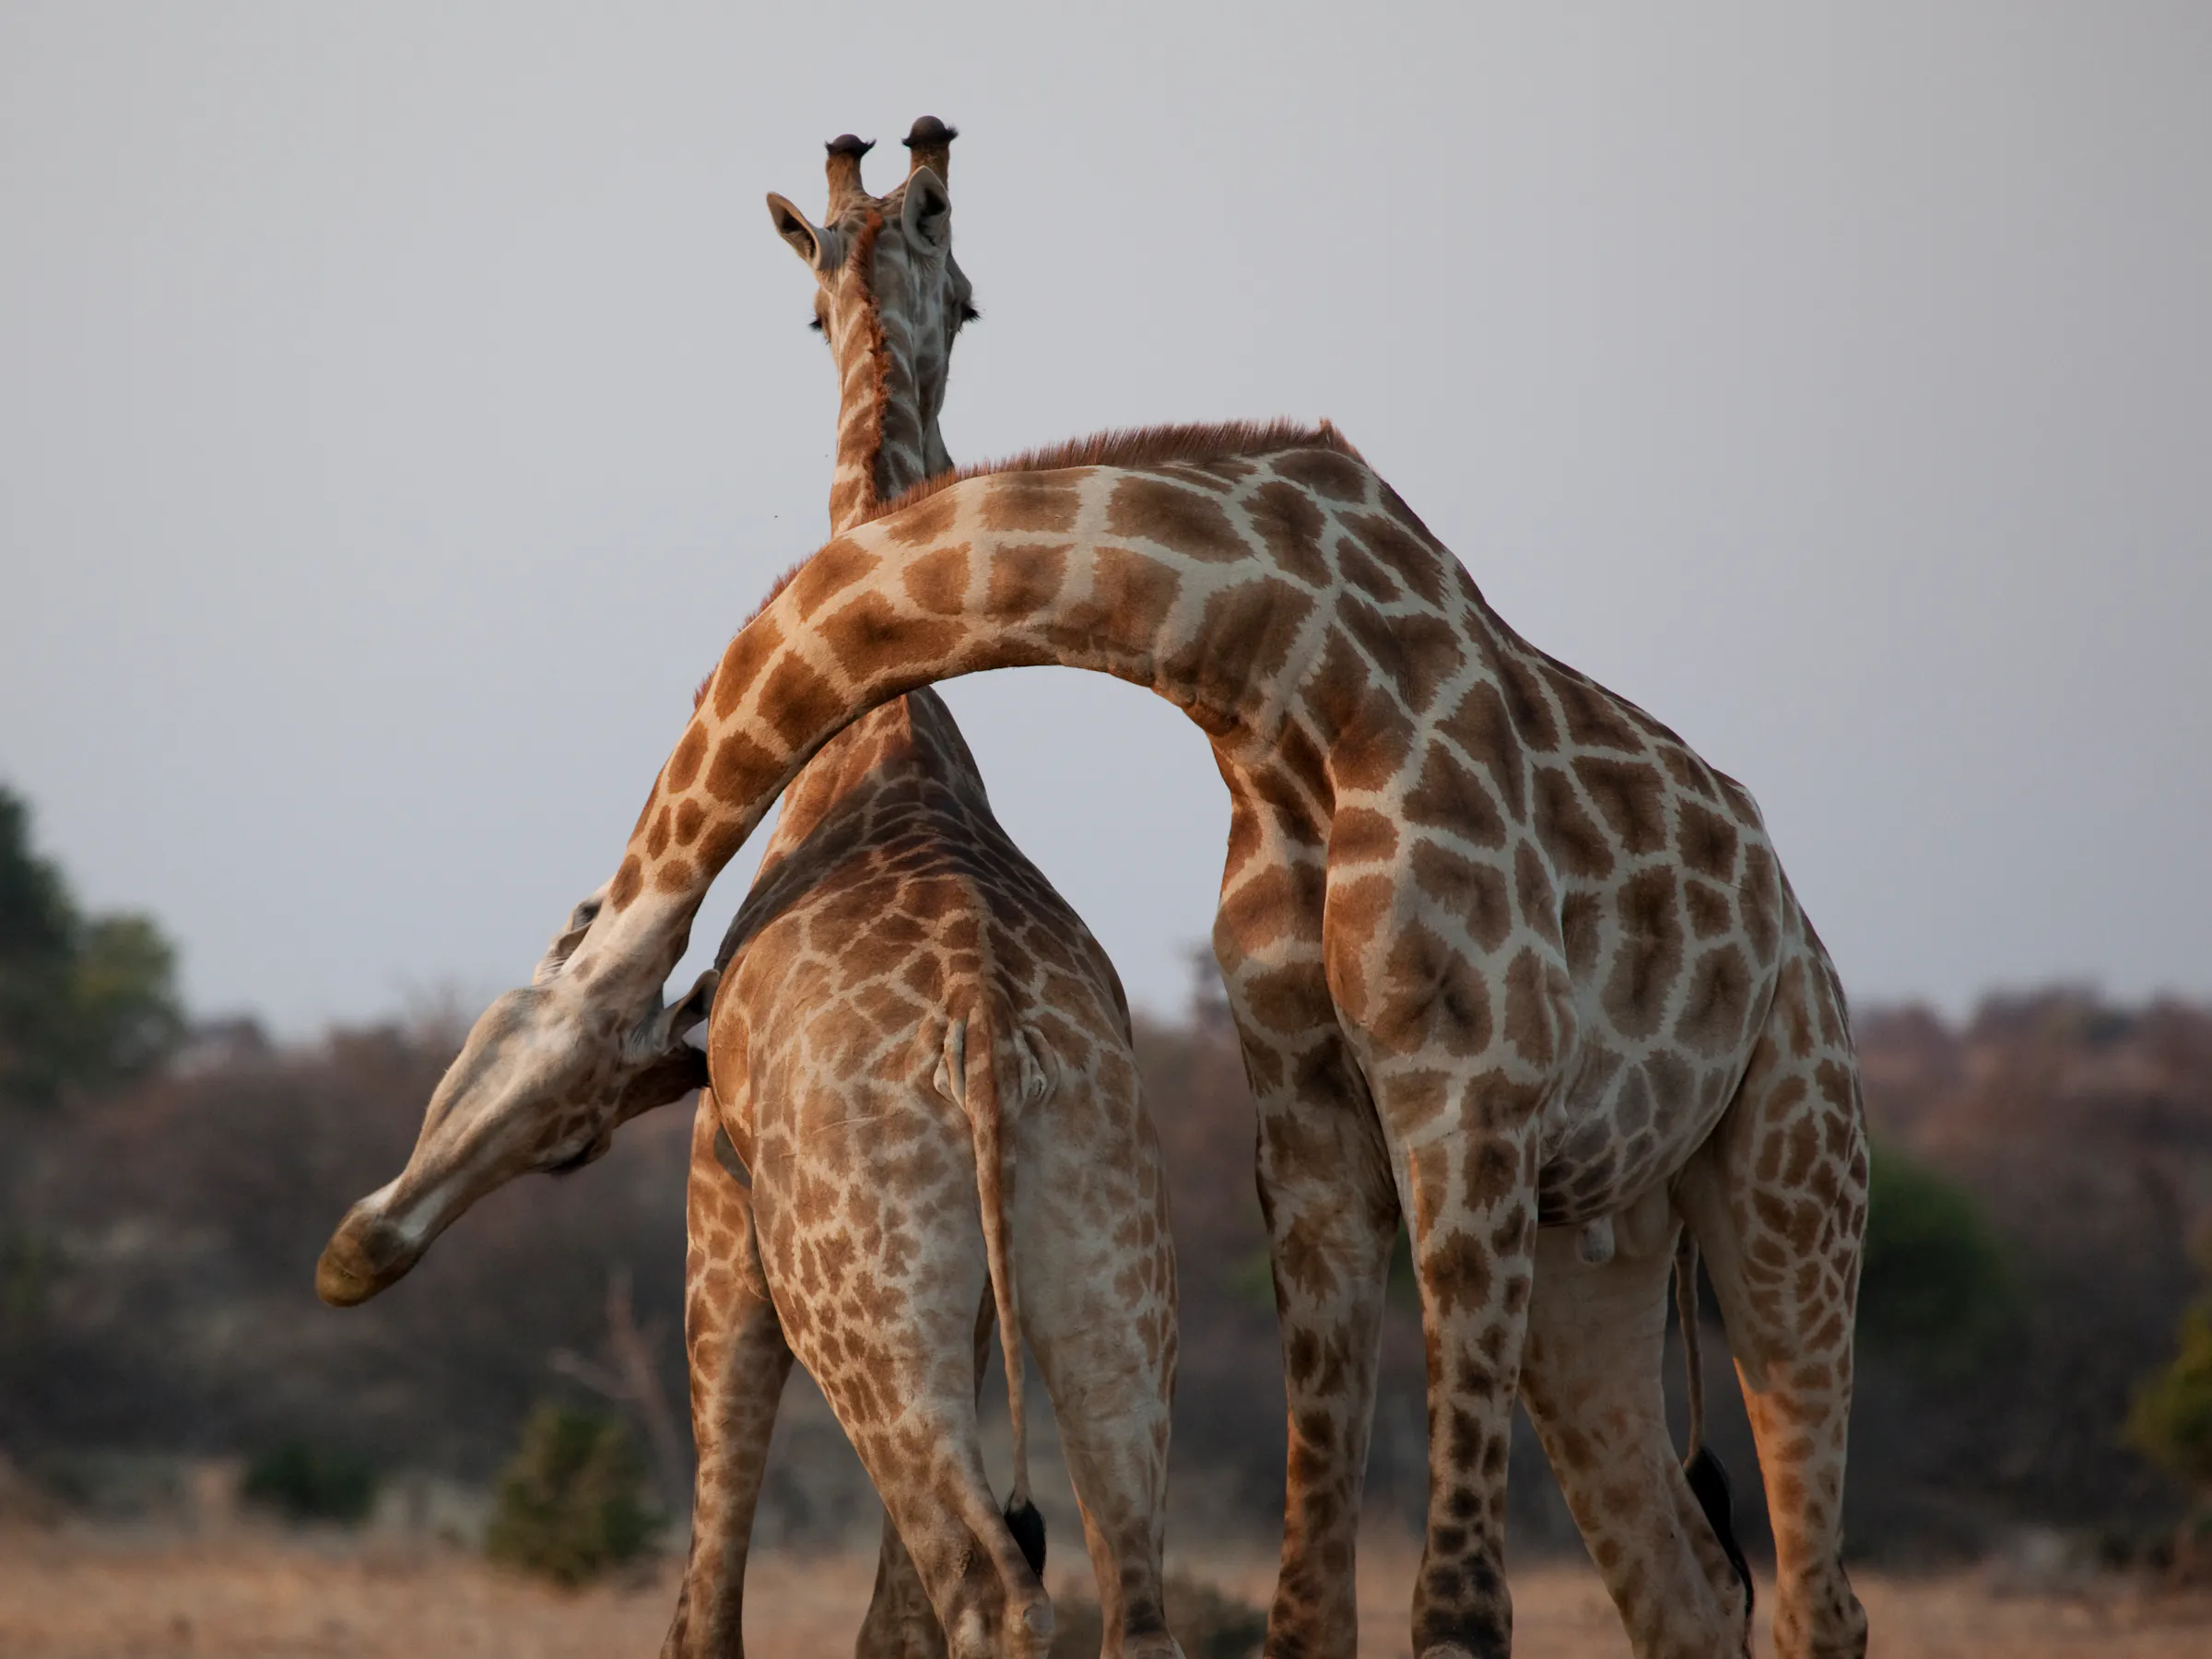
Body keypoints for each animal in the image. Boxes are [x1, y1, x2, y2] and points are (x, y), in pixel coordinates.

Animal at [318, 124, 1185, 1659]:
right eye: (957, 295)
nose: (348, 1263)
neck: (886, 739)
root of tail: (988, 1036)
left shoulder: (718, 1218)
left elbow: (708, 1589)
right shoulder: (977, 1310)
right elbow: (880, 1617)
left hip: (860, 1304)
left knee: (990, 1587)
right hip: (1102, 1287)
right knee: (1124, 1595)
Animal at [326, 418, 1872, 1659]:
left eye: (571, 1144)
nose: (359, 1252)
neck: (1289, 670)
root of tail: (1795, 919)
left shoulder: (1467, 1094)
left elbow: (1458, 1611)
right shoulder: (1308, 1119)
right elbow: (1309, 1602)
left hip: (1791, 1167)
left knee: (1817, 1590)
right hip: (1592, 1251)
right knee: (1688, 1585)